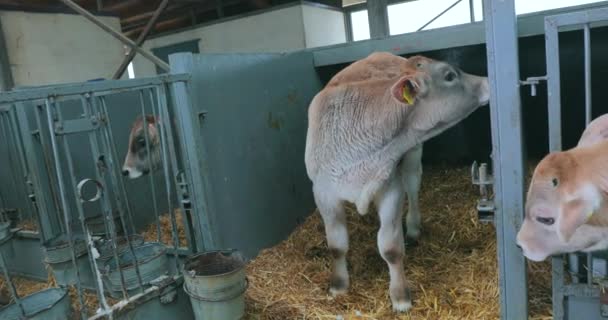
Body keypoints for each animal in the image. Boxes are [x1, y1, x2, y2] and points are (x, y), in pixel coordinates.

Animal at [304, 51, 490, 312]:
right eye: (449, 75)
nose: (487, 81)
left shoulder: (390, 188)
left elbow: (391, 248)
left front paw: (400, 297)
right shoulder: (323, 193)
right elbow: (336, 245)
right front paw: (338, 286)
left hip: (413, 156)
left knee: (412, 185)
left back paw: (412, 229)